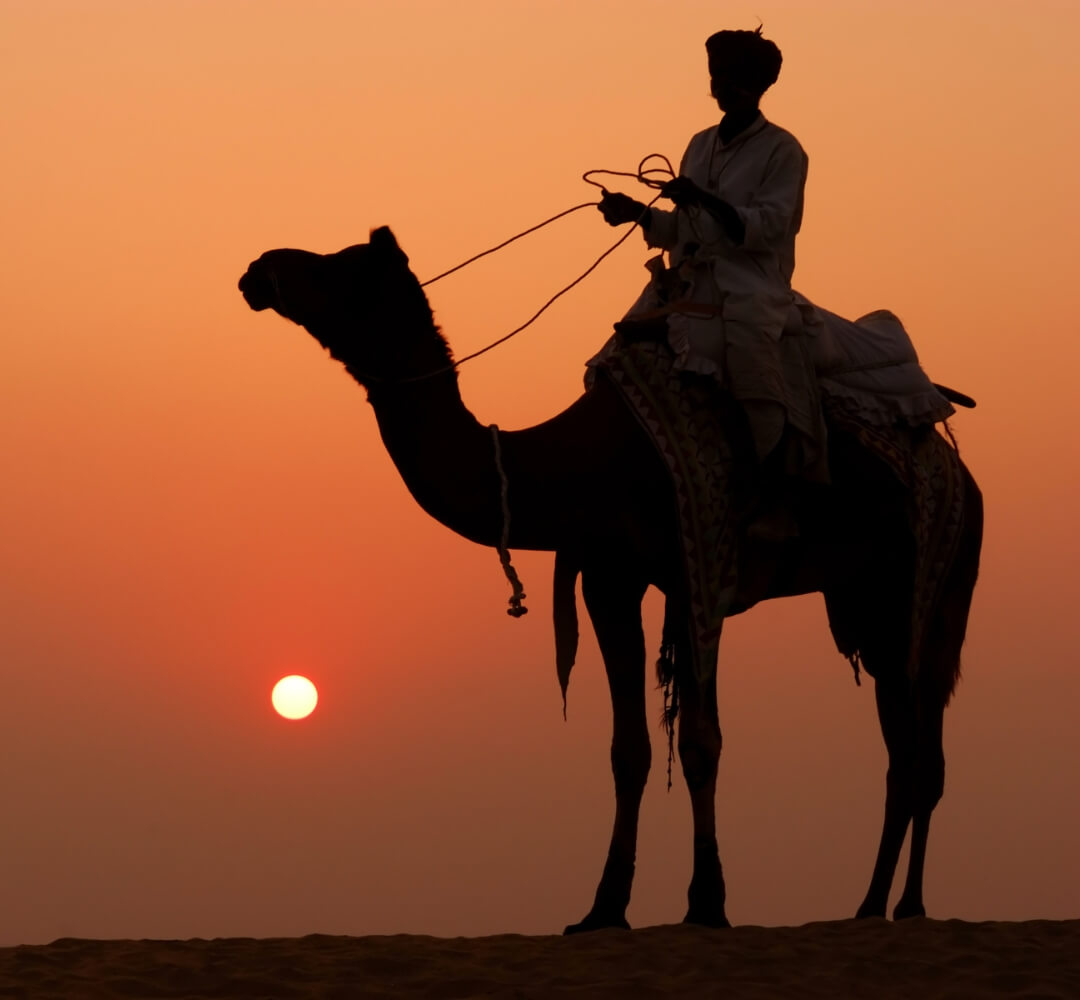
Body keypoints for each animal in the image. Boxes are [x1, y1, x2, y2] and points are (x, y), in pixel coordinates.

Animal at [240, 226, 984, 933]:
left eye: (342, 269)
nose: (259, 269)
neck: (574, 463)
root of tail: (963, 476)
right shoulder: (609, 578)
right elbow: (629, 749)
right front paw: (604, 908)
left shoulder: (698, 571)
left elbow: (701, 740)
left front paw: (707, 902)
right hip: (868, 601)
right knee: (904, 747)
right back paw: (870, 905)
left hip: (935, 586)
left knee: (924, 748)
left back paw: (909, 905)